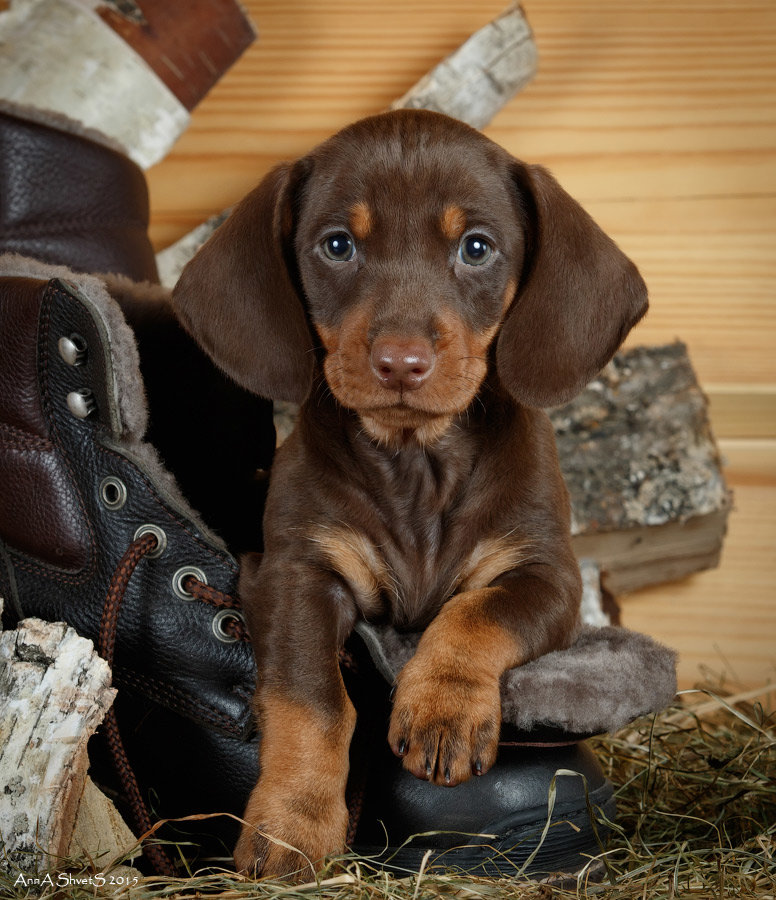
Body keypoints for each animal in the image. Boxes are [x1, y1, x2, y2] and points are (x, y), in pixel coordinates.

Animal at [171, 107, 648, 880]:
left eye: (477, 247)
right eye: (337, 245)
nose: (401, 363)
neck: (417, 465)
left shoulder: (548, 575)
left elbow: (476, 614)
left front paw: (443, 710)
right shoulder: (295, 573)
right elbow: (313, 701)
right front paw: (292, 822)